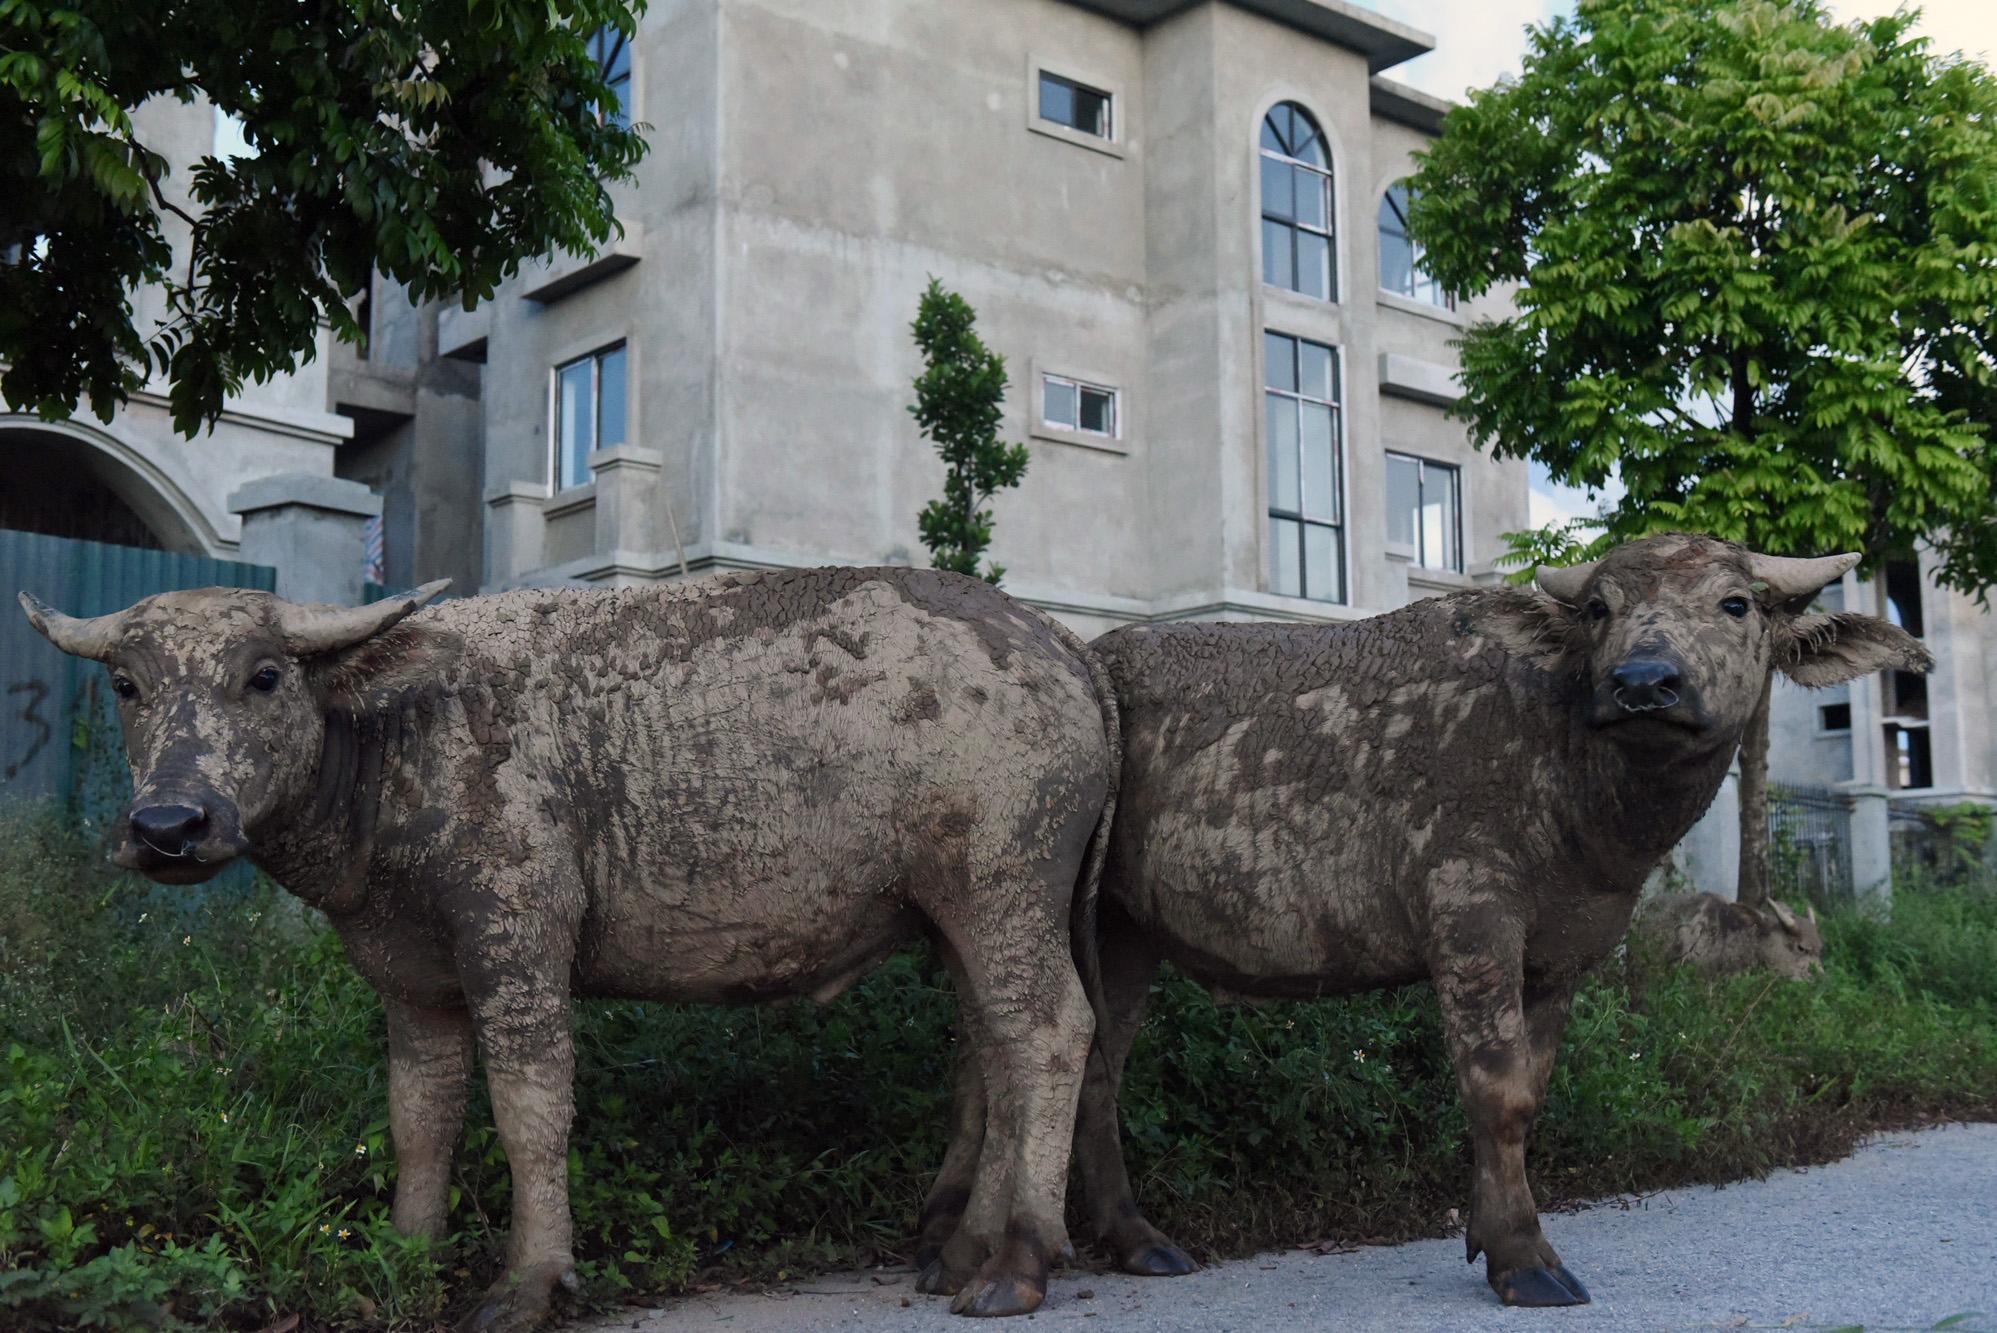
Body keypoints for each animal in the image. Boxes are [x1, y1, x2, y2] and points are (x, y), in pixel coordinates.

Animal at [23, 566, 1126, 1325]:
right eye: (124, 684)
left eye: (263, 676)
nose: (168, 825)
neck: (400, 734)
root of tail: (1059, 644)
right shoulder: (409, 979)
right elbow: (420, 1115)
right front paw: (407, 1255)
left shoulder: (517, 945)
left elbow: (529, 1111)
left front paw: (530, 1279)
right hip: (957, 918)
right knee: (989, 1051)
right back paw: (965, 1245)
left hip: (1000, 890)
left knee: (1049, 1031)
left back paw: (1020, 1257)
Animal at [922, 526, 1933, 1301]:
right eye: (1599, 609)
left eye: (1734, 603)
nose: (1644, 681)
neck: (1573, 782)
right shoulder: (1471, 920)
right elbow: (1495, 1090)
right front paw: (1524, 1257)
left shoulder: (1560, 958)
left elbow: (1531, 1089)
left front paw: (1489, 1230)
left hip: (1126, 929)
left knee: (1095, 1062)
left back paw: (1134, 1239)